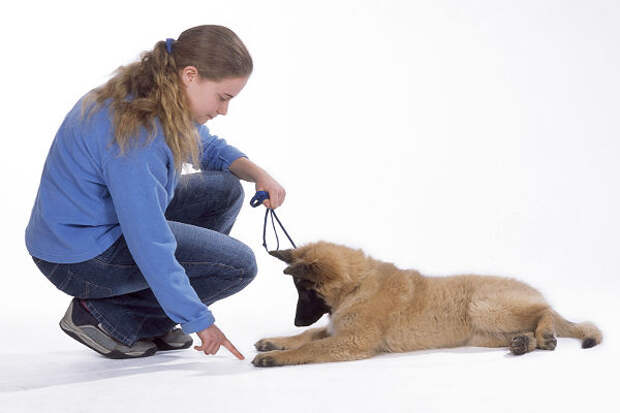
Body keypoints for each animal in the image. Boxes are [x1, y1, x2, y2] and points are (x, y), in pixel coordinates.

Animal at [251, 240, 600, 366]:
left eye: (305, 290)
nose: (297, 319)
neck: (357, 284)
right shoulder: (339, 329)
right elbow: (308, 336)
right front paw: (276, 341)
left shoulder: (353, 340)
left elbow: (311, 346)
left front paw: (276, 356)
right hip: (482, 333)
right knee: (529, 325)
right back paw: (525, 343)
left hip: (484, 306)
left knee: (545, 311)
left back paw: (544, 334)